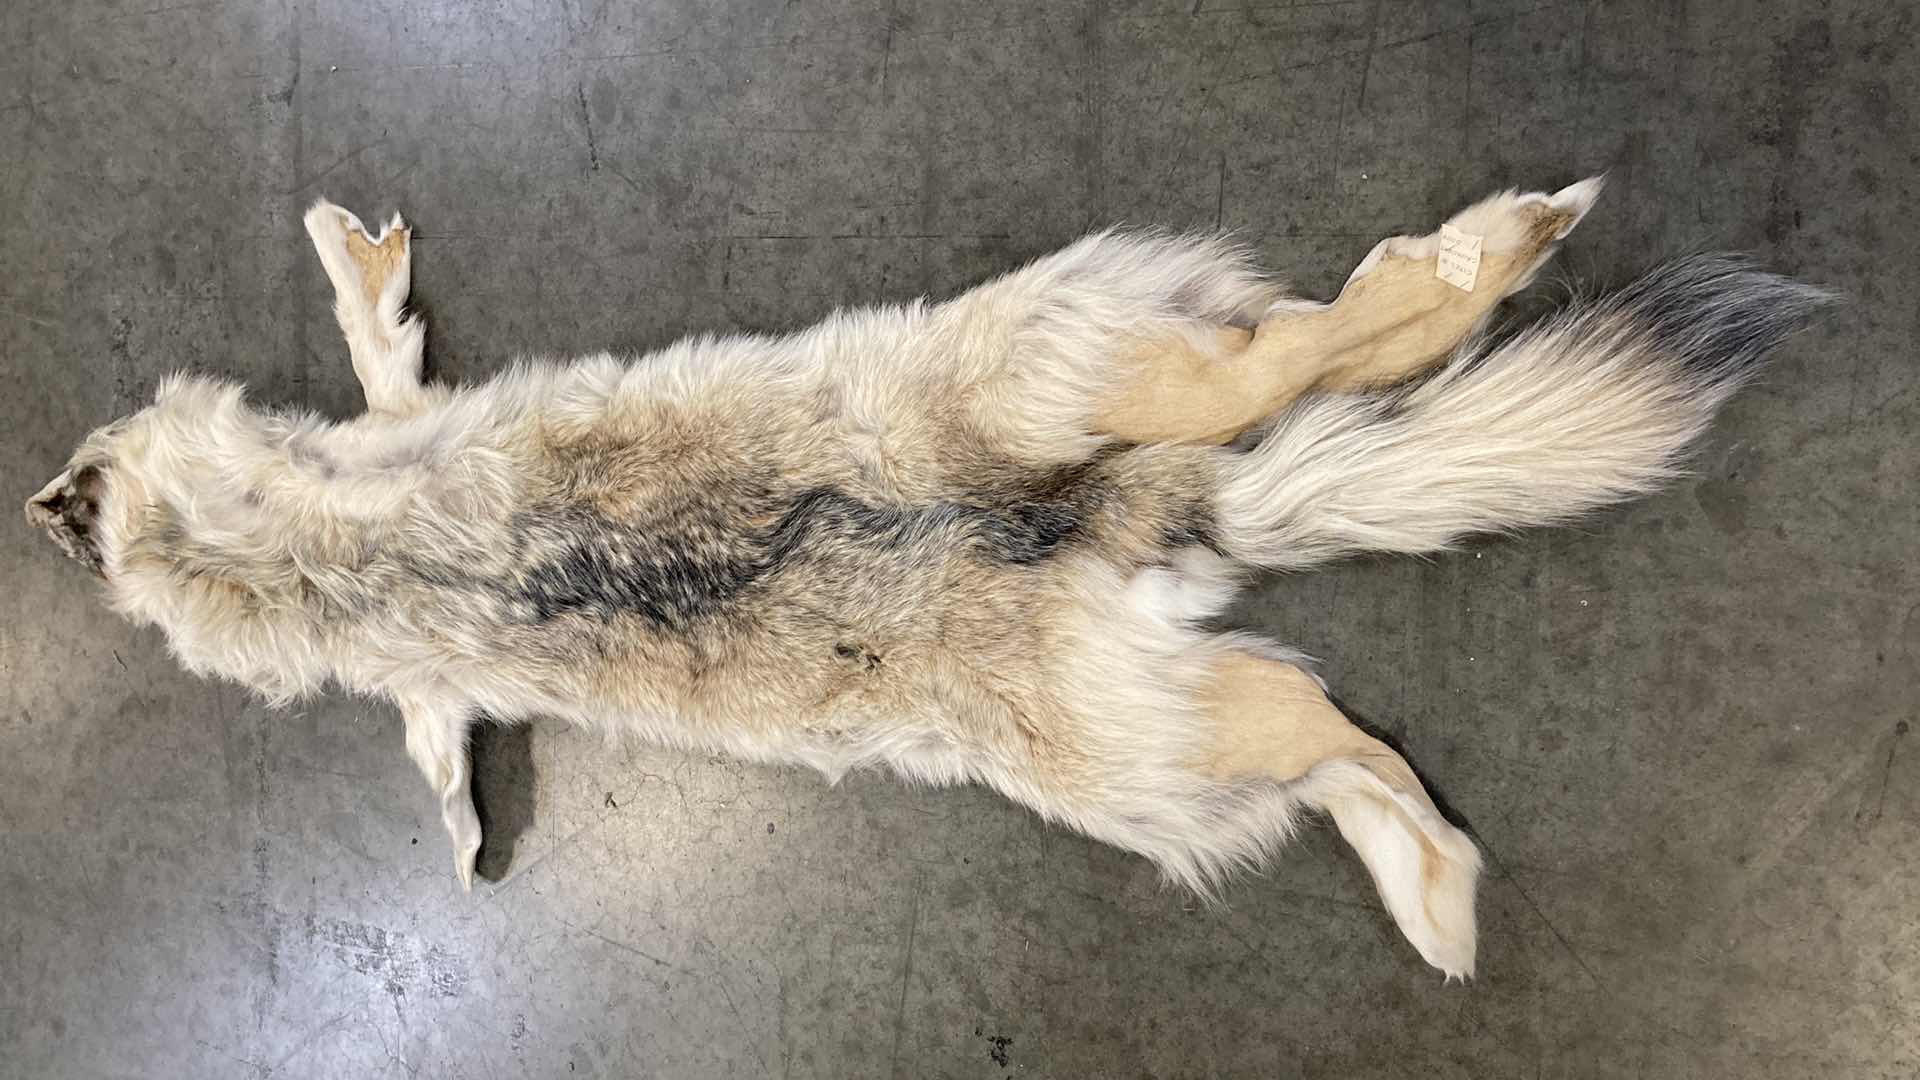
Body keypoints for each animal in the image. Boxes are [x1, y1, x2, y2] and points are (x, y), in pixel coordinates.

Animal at [25, 178, 1829, 977]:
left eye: (99, 481)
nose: (47, 500)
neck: (323, 548)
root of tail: (1146, 515)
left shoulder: (400, 465)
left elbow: (379, 355)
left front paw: (352, 254)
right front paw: (473, 843)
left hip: (1079, 374)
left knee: (1325, 375)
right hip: (1148, 686)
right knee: (1328, 654)